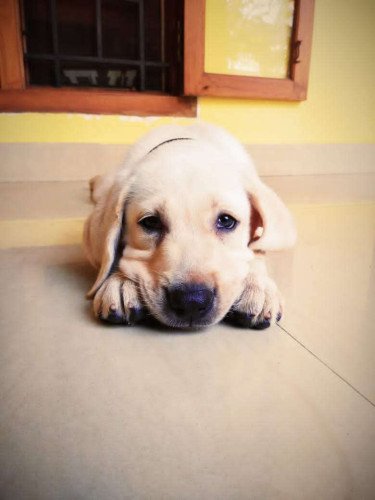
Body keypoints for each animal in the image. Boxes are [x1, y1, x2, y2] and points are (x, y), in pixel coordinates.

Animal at [83, 123, 296, 330]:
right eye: (150, 222)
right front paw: (120, 281)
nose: (191, 301)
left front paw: (257, 286)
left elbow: (256, 252)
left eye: (226, 221)